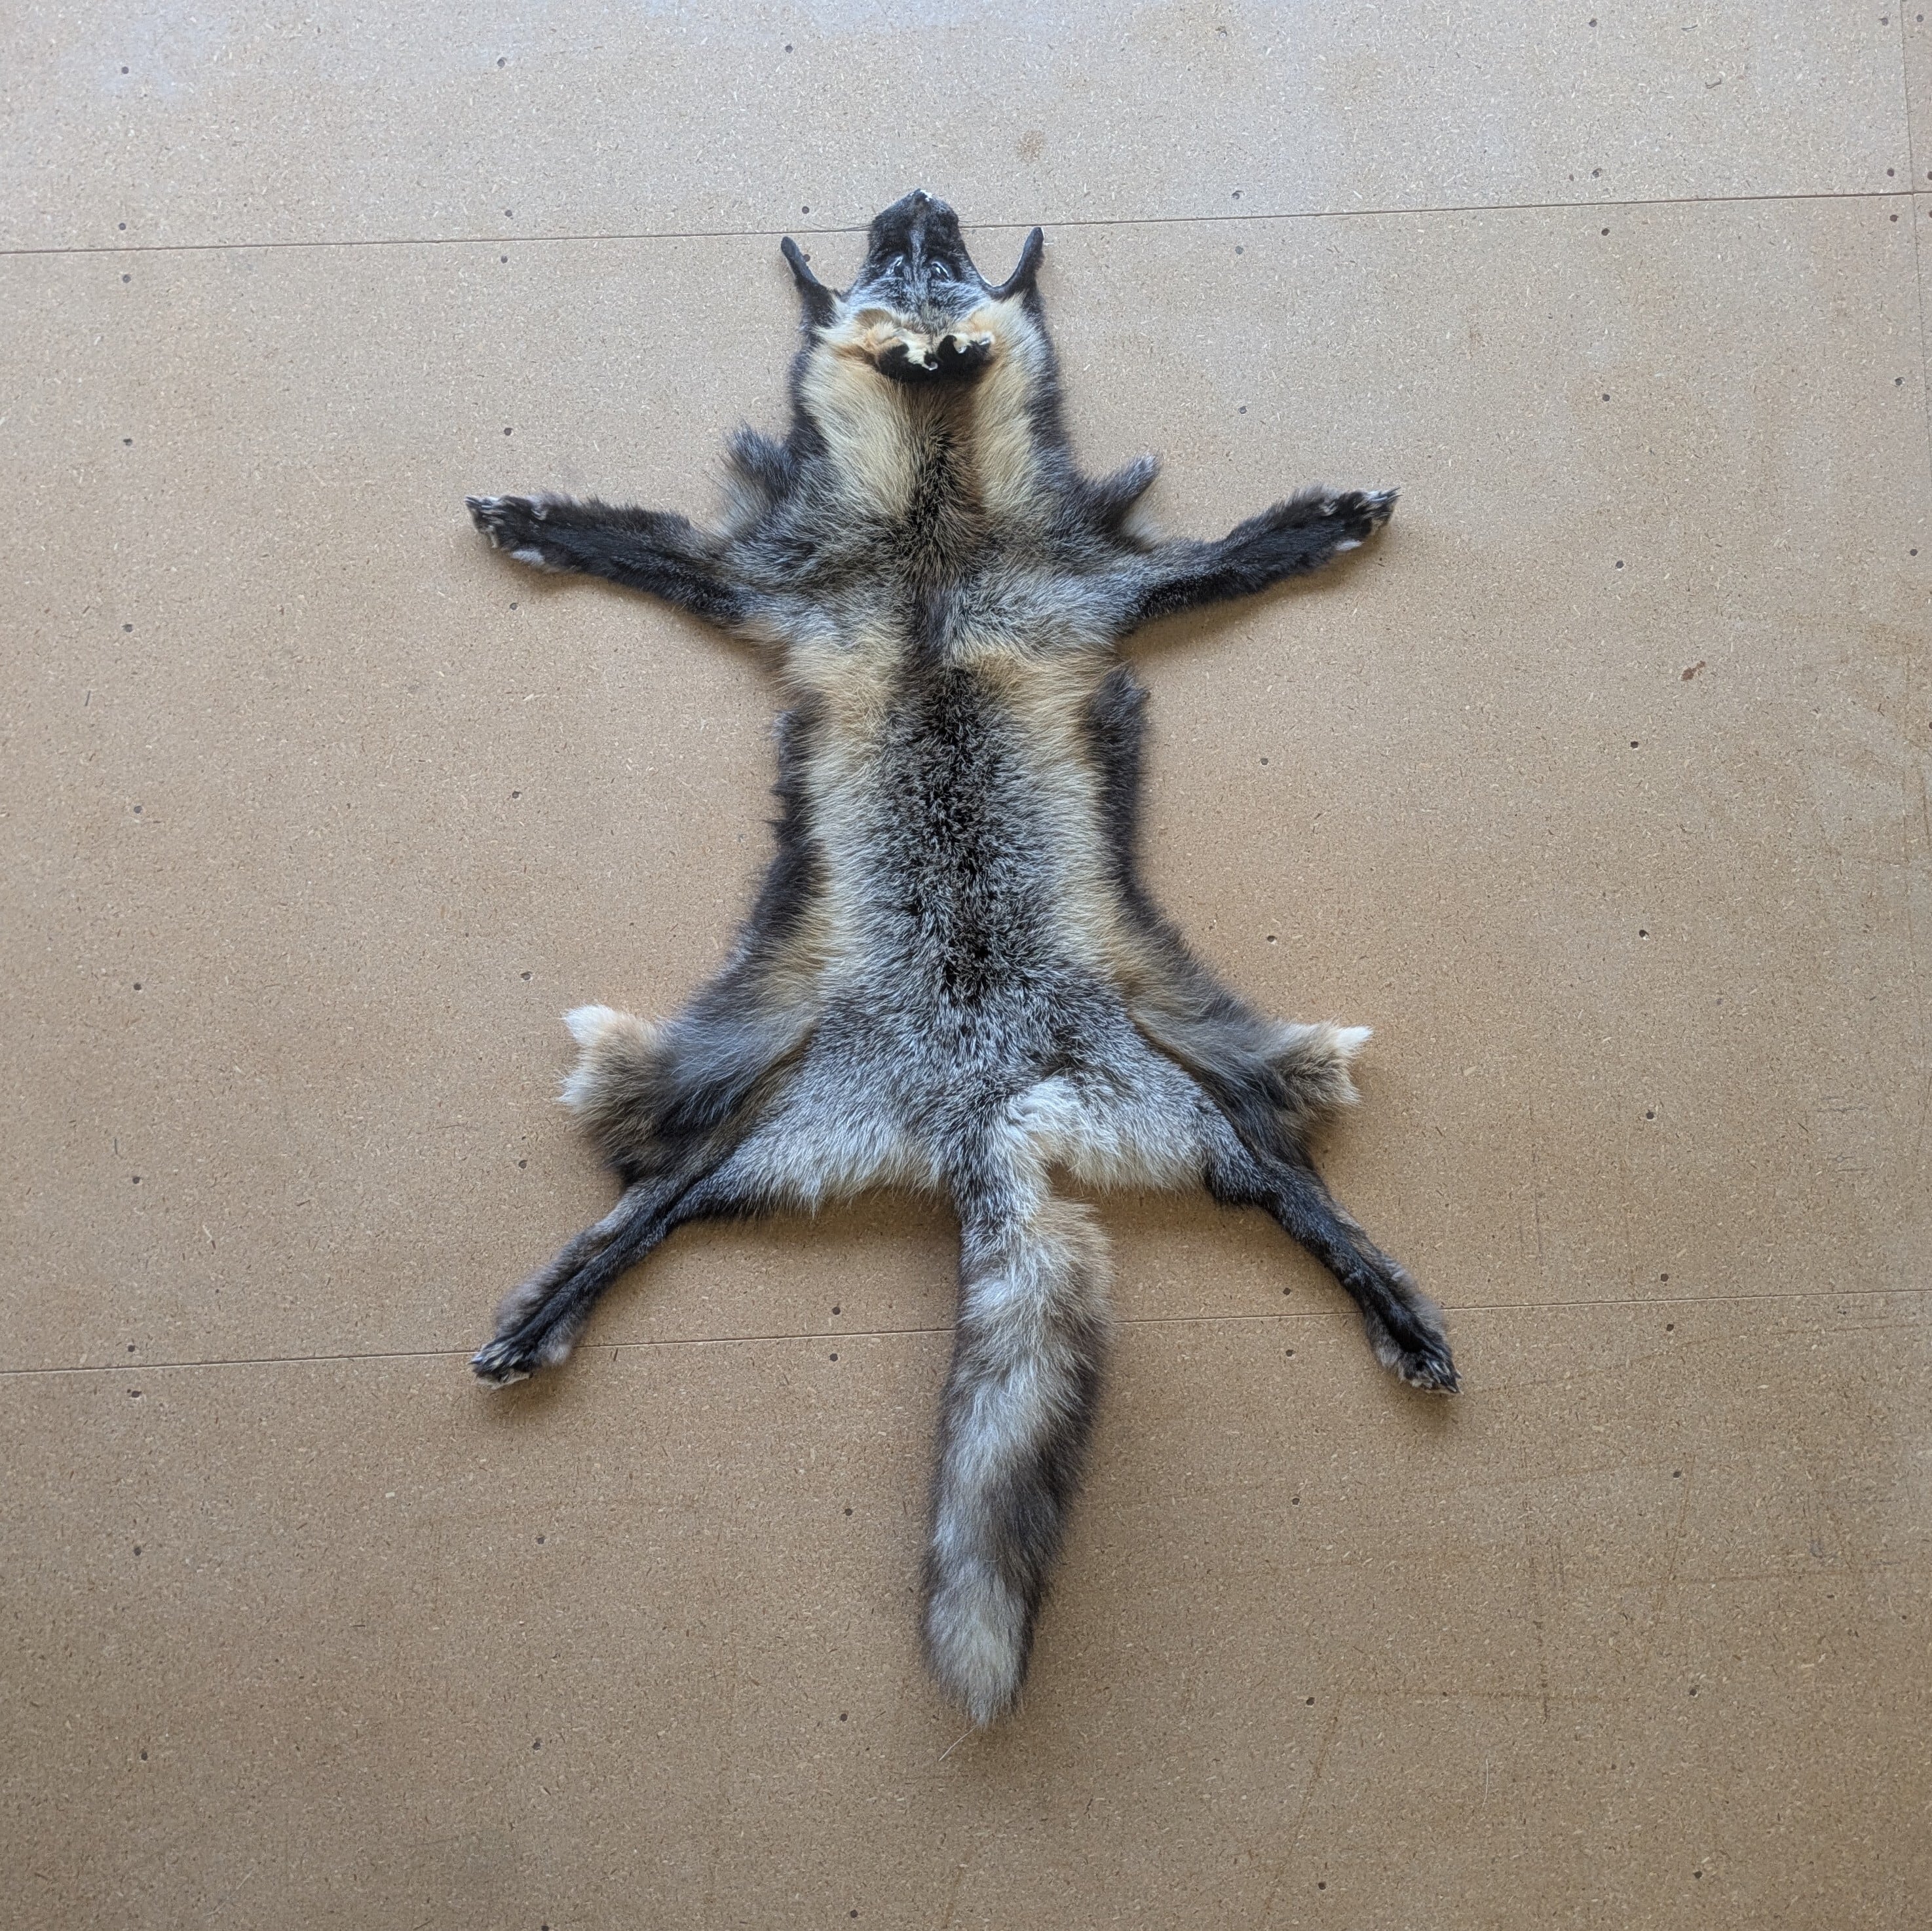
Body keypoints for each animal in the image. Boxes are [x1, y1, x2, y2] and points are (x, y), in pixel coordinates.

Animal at [465, 189, 1456, 1728]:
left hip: (1187, 1111)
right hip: (772, 1128)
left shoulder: (1103, 583)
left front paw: (1316, 525)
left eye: (942, 261)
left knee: (1296, 1196)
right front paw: (537, 522)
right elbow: (638, 547)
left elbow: (1229, 556)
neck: (933, 542)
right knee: (646, 1209)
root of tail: (986, 1115)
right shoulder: (770, 583)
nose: (917, 194)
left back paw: (1395, 1304)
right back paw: (547, 1307)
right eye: (898, 265)